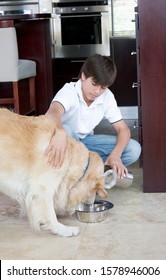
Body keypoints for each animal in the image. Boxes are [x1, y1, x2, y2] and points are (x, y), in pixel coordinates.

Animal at [0, 108, 107, 237]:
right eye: (95, 191)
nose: (91, 205)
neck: (69, 155)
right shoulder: (42, 189)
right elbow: (50, 213)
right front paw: (63, 229)